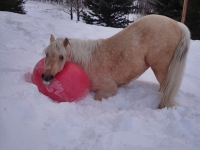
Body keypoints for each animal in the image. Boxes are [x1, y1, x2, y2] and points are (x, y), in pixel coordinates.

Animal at [41, 14, 190, 108]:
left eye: (61, 56)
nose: (46, 77)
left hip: (160, 68)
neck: (88, 61)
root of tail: (176, 23)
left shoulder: (109, 89)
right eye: (46, 54)